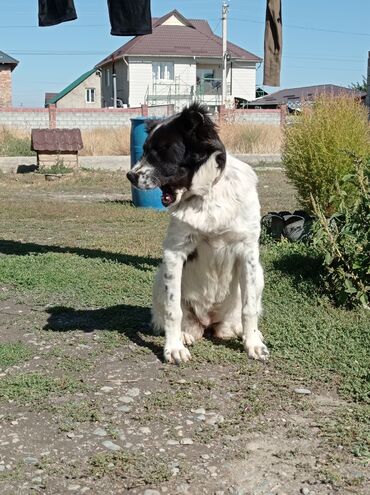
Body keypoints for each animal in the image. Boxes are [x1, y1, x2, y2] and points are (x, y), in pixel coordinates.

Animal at [127, 104, 268, 366]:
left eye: (162, 150)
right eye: (144, 150)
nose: (130, 175)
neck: (208, 194)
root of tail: (208, 322)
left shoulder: (248, 252)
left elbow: (250, 308)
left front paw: (253, 343)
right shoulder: (174, 253)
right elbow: (173, 310)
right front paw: (173, 348)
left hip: (259, 275)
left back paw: (241, 331)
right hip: (160, 275)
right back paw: (184, 335)